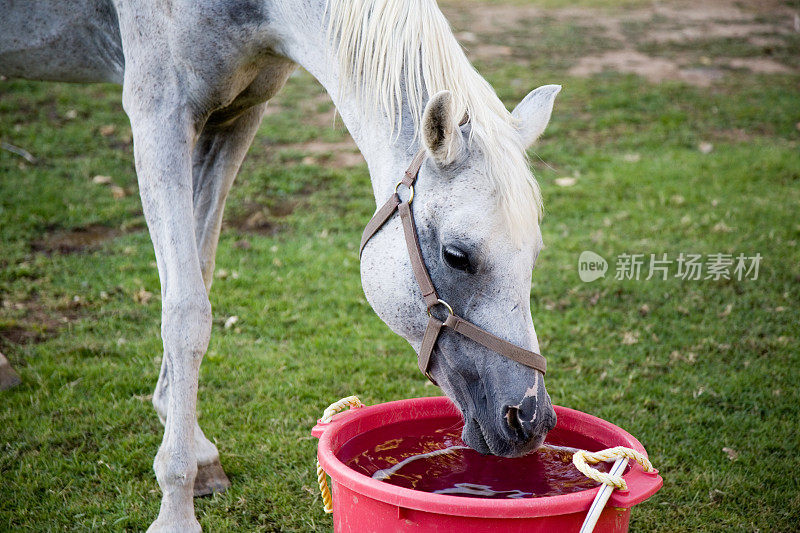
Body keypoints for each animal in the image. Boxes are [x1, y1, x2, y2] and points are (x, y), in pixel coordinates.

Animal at [1, 0, 564, 528]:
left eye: (536, 253)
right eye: (456, 256)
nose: (530, 419)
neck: (258, 15)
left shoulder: (234, 117)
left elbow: (197, 271)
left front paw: (191, 444)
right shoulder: (158, 114)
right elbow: (186, 311)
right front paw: (176, 508)